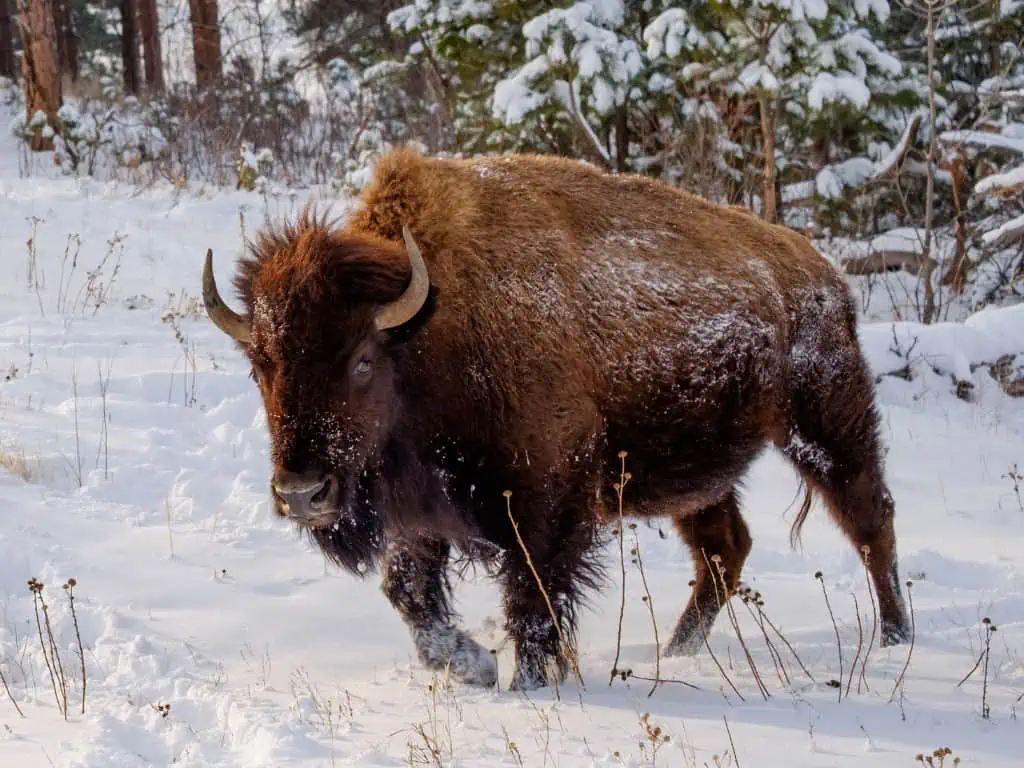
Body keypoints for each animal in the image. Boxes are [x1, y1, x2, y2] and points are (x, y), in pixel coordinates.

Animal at [201, 145, 913, 692]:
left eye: (362, 360)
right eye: (260, 363)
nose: (301, 494)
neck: (429, 329)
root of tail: (824, 274)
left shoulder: (545, 508)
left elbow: (532, 601)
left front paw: (528, 683)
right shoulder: (419, 515)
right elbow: (409, 594)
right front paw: (475, 667)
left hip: (825, 424)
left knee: (870, 519)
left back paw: (895, 640)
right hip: (697, 475)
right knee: (724, 549)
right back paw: (676, 653)